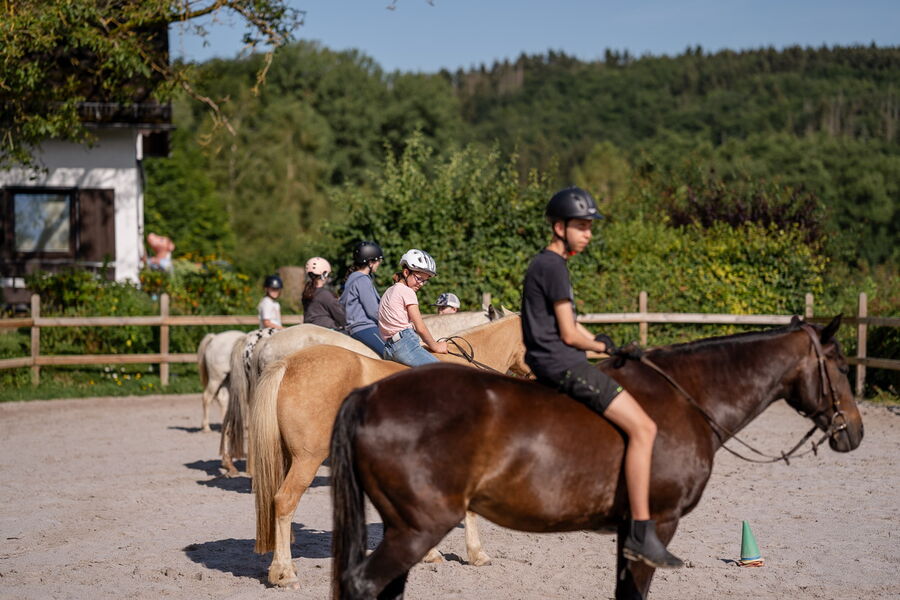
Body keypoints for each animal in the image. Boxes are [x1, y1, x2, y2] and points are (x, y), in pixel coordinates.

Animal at [250, 314, 530, 589]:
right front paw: (476, 554)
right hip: (307, 459)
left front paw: (429, 553)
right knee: (285, 501)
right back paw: (285, 572)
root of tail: (288, 364)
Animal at [329, 316, 864, 600]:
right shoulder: (657, 527)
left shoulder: (630, 532)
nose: (855, 432)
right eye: (839, 365)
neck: (686, 396)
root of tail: (370, 394)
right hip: (417, 529)